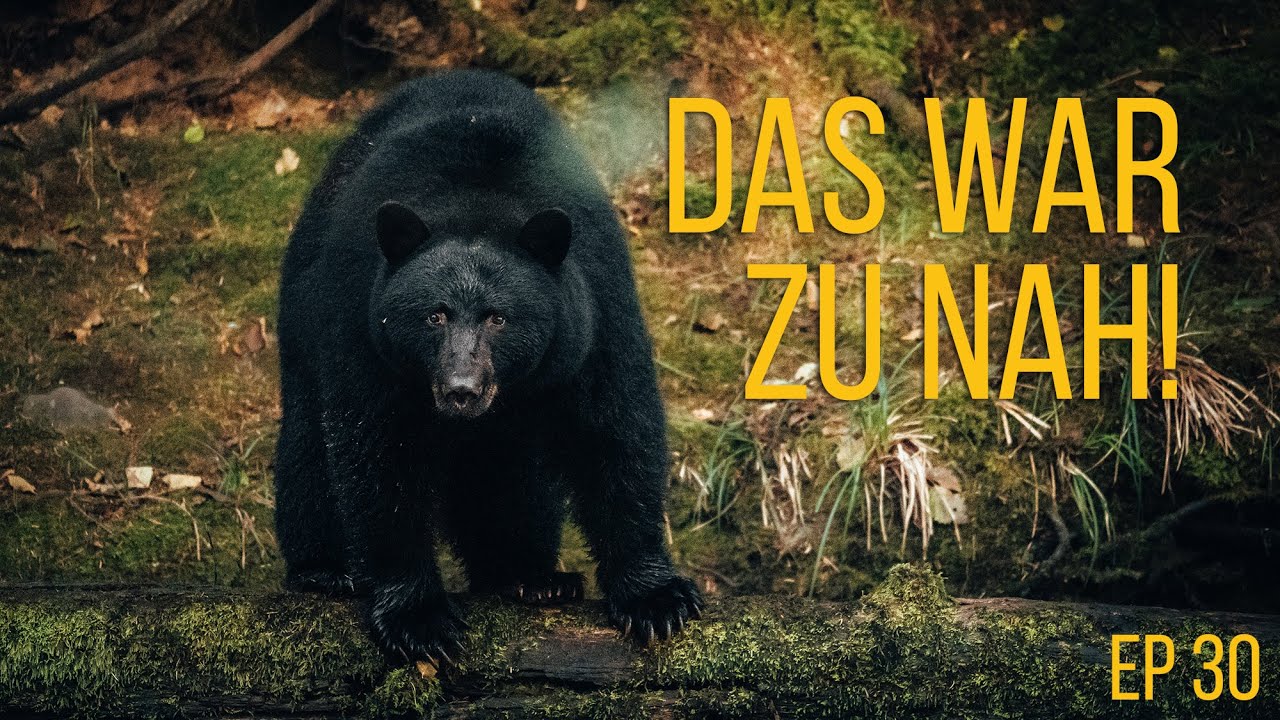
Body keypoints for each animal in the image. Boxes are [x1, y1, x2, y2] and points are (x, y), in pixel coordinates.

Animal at [274, 69, 702, 663]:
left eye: (499, 318)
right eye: (434, 315)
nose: (461, 389)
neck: (477, 203)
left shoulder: (594, 309)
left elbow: (615, 428)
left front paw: (656, 599)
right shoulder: (364, 328)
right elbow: (377, 453)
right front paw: (418, 618)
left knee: (519, 477)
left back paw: (530, 575)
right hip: (303, 311)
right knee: (309, 446)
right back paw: (325, 569)